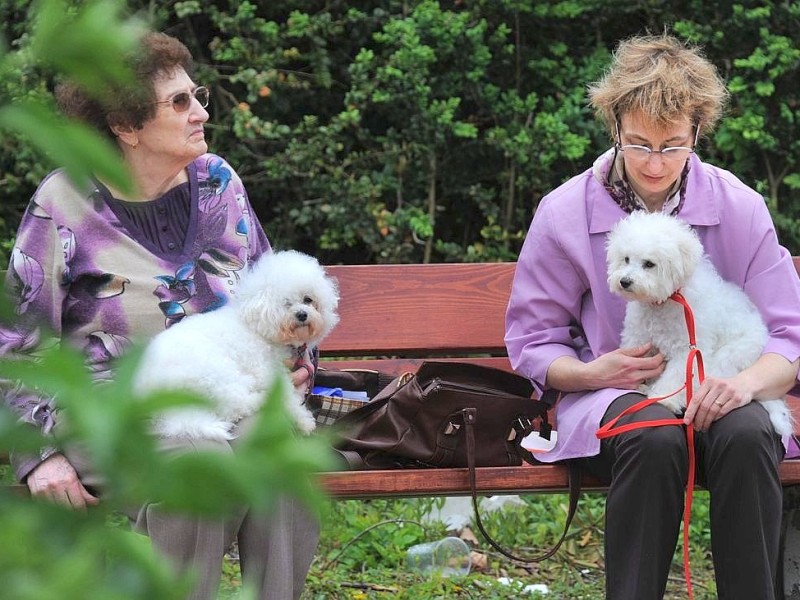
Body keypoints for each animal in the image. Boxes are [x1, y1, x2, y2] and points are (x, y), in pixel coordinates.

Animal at [135, 248, 340, 440]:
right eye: (286, 303)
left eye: (308, 299)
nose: (302, 314)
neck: (259, 329)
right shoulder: (266, 371)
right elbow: (287, 394)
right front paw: (303, 420)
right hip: (217, 375)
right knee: (235, 405)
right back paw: (262, 399)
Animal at [608, 212, 792, 436]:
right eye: (626, 259)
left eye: (649, 264)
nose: (624, 281)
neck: (666, 301)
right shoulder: (638, 339)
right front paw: (642, 385)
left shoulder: (688, 349)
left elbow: (678, 376)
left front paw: (665, 398)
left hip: (728, 357)